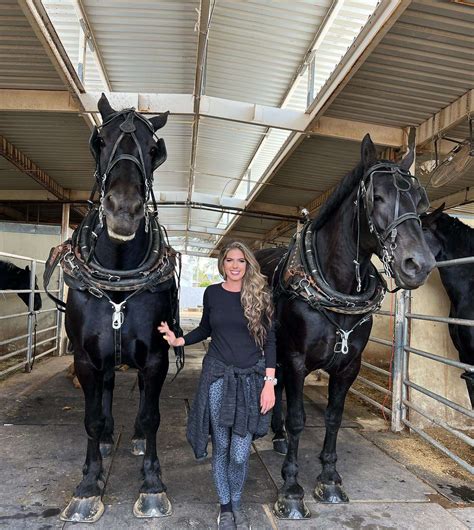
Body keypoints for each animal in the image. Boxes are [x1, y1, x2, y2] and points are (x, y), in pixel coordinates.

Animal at [44, 94, 182, 520]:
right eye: (99, 141)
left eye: (154, 151)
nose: (123, 208)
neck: (118, 272)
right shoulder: (86, 358)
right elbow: (90, 418)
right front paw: (89, 486)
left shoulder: (155, 356)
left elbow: (151, 416)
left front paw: (152, 484)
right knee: (104, 394)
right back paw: (107, 438)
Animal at [258, 134, 436, 516]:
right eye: (376, 196)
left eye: (421, 201)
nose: (419, 264)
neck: (334, 285)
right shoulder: (295, 360)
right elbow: (299, 418)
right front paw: (291, 489)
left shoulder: (348, 365)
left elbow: (333, 418)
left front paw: (329, 480)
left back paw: (279, 436)